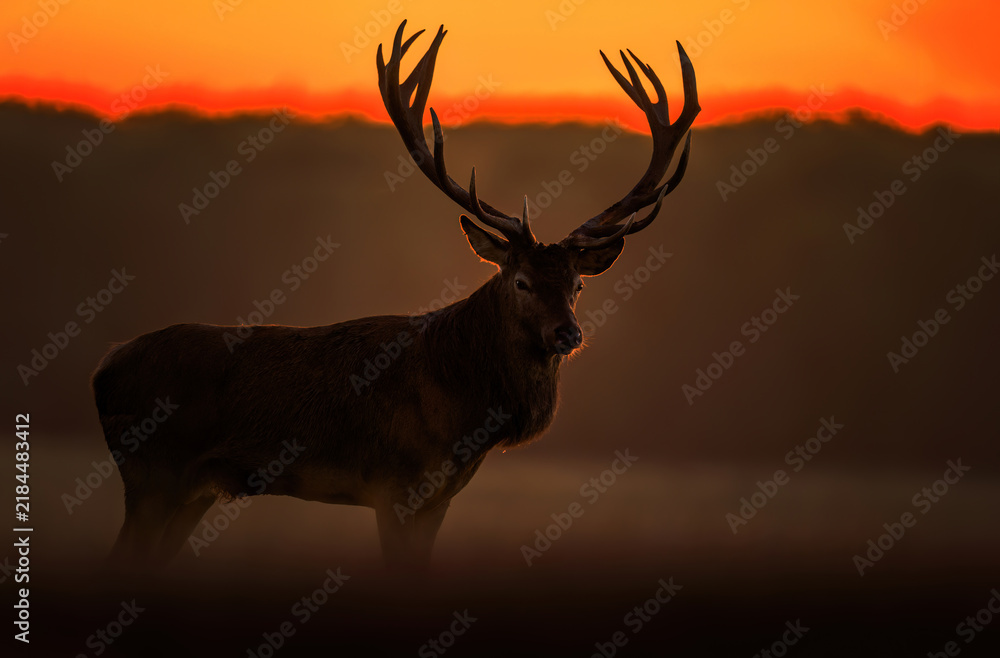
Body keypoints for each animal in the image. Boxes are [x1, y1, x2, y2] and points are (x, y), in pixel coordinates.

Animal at [91, 20, 698, 573]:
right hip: (152, 472)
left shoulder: (439, 499)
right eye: (521, 281)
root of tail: (102, 368)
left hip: (195, 488)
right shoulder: (395, 484)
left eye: (577, 284)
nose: (568, 333)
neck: (463, 408)